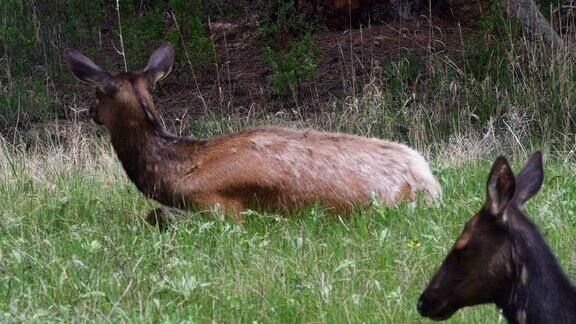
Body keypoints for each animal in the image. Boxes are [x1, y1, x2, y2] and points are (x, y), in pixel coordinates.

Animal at [63, 43, 440, 227]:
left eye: (97, 93)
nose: (89, 111)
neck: (175, 171)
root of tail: (430, 183)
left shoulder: (218, 209)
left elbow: (156, 214)